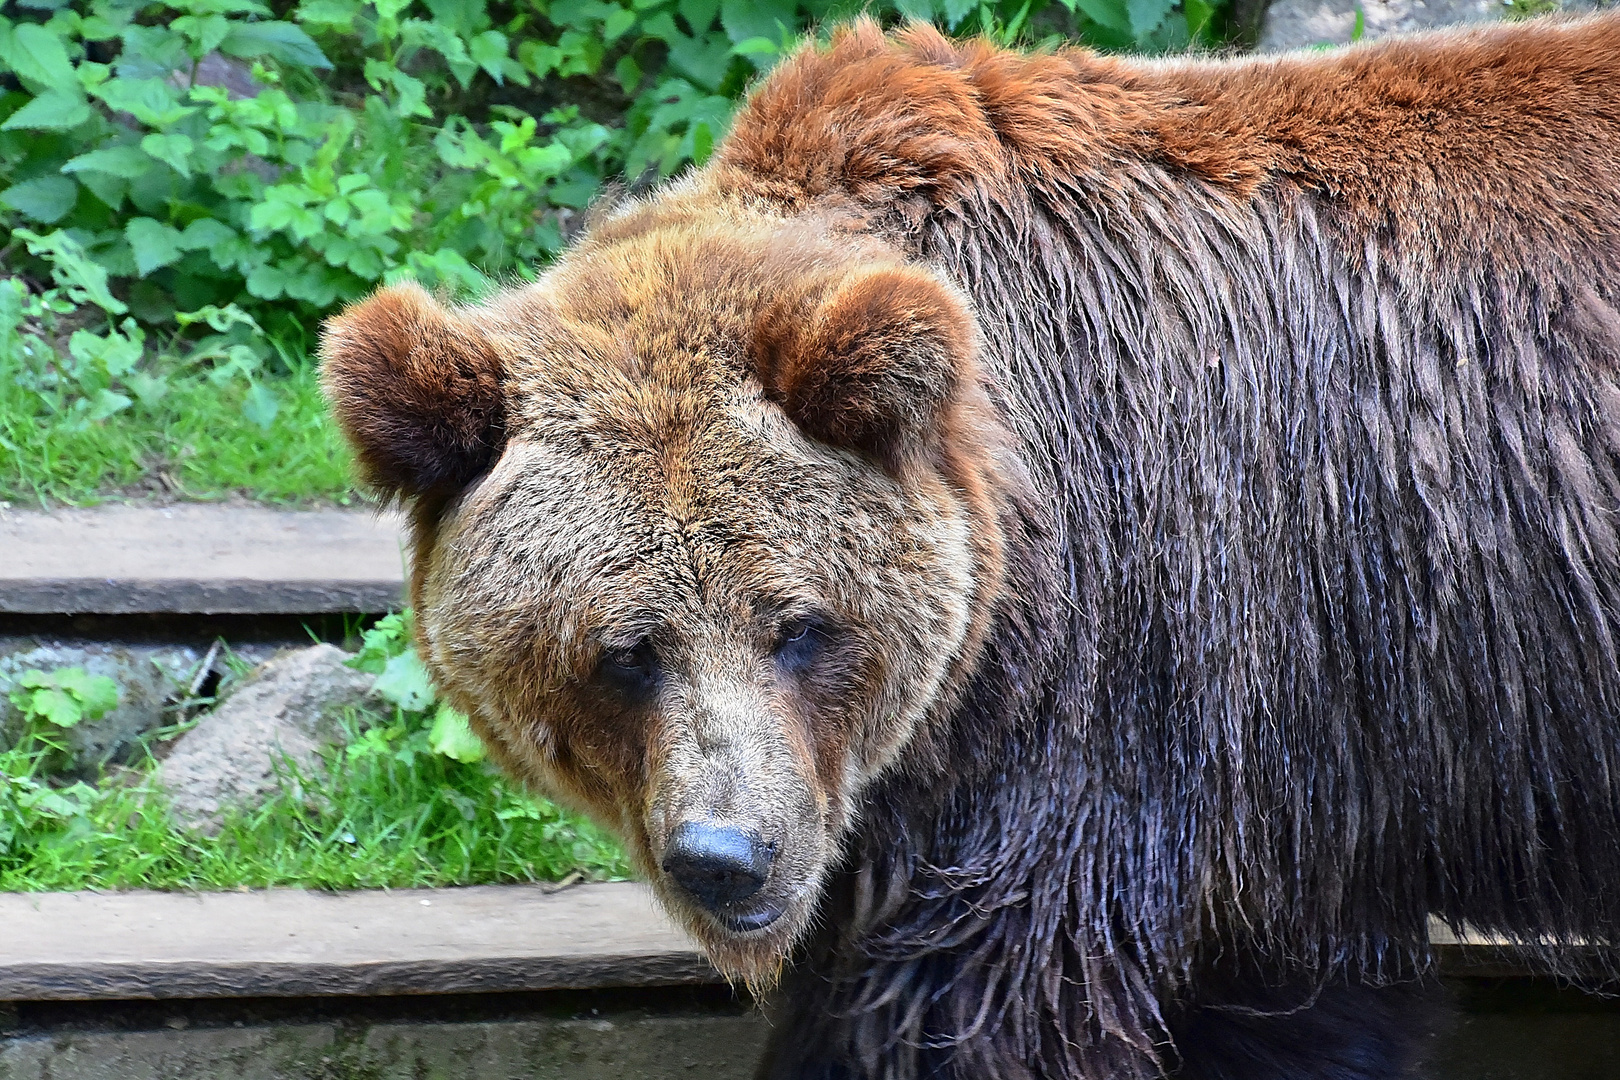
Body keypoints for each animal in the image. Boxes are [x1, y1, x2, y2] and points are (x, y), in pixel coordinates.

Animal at [322, 16, 1620, 1080]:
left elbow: (974, 1002)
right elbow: (1297, 996)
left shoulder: (1125, 683)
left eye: (800, 627)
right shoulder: (1296, 749)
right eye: (622, 649)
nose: (728, 858)